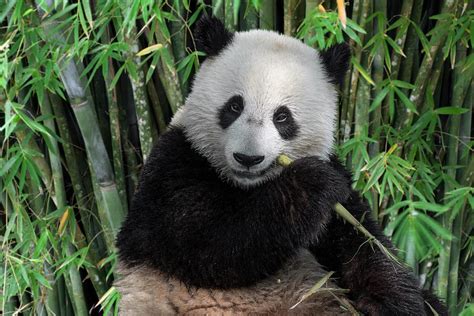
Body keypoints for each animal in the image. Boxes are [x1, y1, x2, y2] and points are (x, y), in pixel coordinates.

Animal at [115, 15, 444, 316]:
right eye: (234, 106)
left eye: (282, 117)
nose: (248, 158)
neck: (248, 186)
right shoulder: (174, 165)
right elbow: (210, 244)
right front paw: (312, 182)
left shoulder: (339, 192)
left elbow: (363, 244)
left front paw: (394, 302)